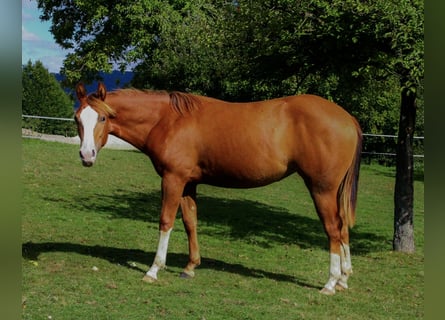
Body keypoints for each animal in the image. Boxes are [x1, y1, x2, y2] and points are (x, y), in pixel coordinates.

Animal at [73, 82, 360, 296]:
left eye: (102, 117)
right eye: (77, 118)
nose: (86, 155)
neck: (168, 120)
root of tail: (348, 118)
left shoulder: (173, 179)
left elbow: (166, 221)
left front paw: (154, 269)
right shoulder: (188, 182)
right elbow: (190, 221)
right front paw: (190, 266)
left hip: (322, 189)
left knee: (333, 230)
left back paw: (330, 282)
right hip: (333, 192)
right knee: (343, 227)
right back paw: (344, 278)